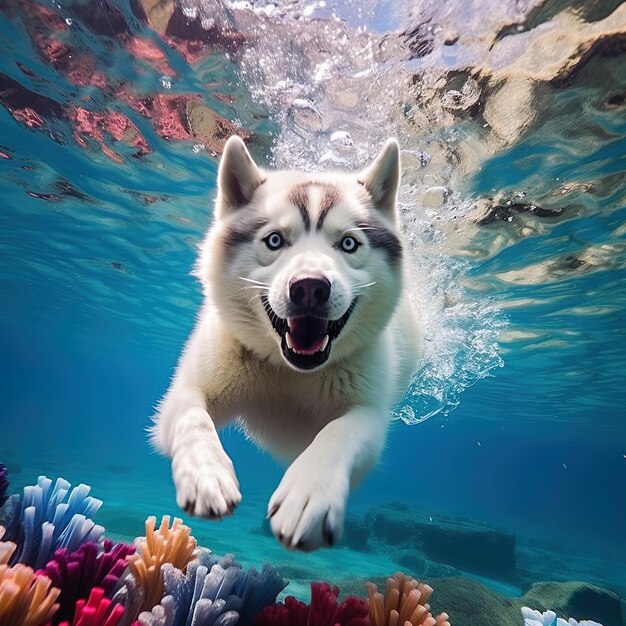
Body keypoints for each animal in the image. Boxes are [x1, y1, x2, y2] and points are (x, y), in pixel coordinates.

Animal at [150, 135, 420, 544]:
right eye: (275, 240)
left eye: (349, 244)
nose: (310, 288)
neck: (290, 372)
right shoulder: (186, 391)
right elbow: (192, 417)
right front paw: (206, 472)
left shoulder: (368, 417)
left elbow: (339, 433)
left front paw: (309, 492)